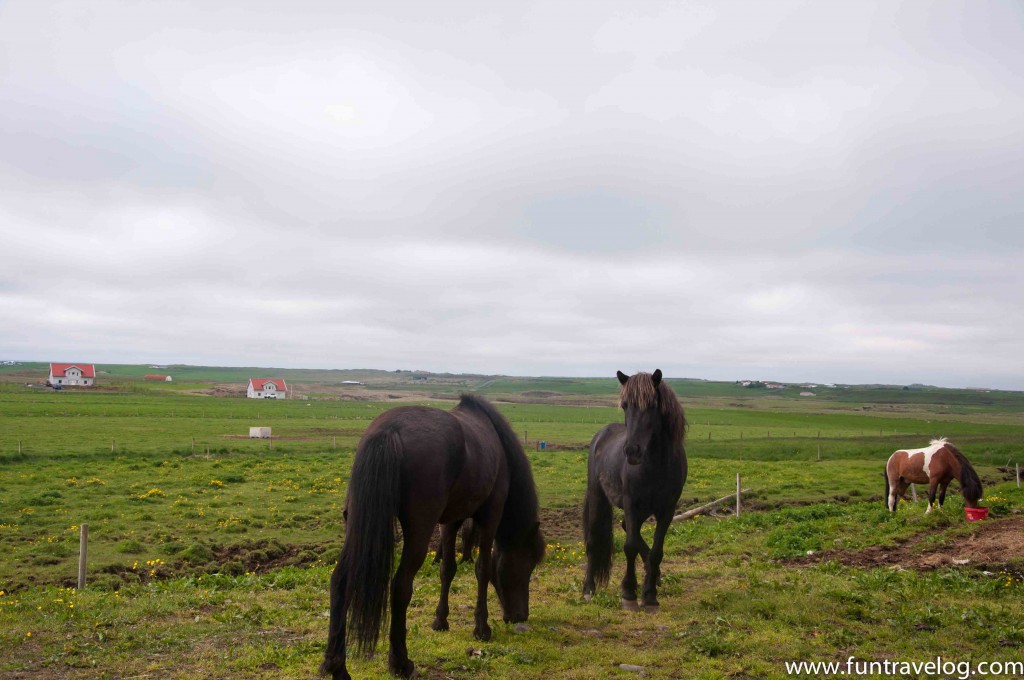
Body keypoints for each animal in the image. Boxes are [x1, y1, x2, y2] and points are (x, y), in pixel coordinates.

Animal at [319, 395, 544, 675]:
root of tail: (388, 431)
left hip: (358, 525)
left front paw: (440, 620)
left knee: (340, 581)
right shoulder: (490, 516)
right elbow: (483, 569)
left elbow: (447, 569)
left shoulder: (450, 521)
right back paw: (400, 662)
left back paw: (336, 665)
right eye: (528, 565)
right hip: (419, 531)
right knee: (401, 586)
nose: (520, 616)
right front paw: (482, 628)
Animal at [585, 372, 688, 610]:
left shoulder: (666, 510)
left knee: (629, 529)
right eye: (624, 405)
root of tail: (601, 435)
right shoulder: (631, 503)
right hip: (598, 497)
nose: (632, 451)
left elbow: (657, 551)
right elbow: (630, 546)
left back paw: (655, 575)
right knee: (593, 540)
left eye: (652, 405)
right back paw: (588, 589)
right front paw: (629, 594)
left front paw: (649, 595)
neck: (656, 465)